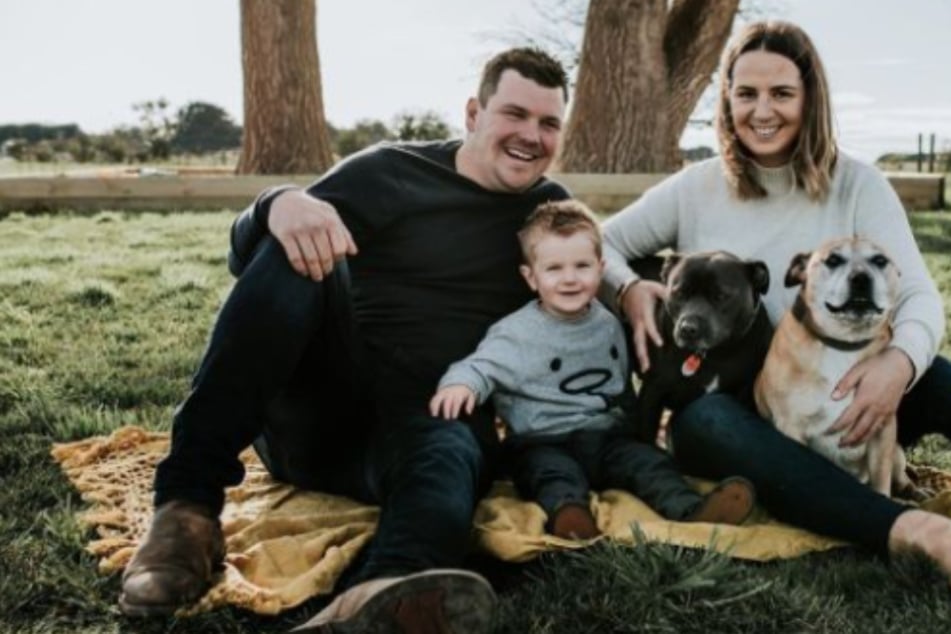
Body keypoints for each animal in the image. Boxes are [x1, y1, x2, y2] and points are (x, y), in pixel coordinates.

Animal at [632, 252, 772, 444]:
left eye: (720, 296)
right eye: (679, 293)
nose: (688, 329)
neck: (715, 354)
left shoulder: (743, 395)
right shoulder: (652, 393)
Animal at [752, 235, 924, 496]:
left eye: (880, 260)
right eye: (833, 260)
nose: (861, 278)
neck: (843, 344)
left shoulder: (882, 430)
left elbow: (881, 481)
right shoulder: (791, 429)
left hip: (895, 450)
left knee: (899, 472)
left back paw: (911, 489)